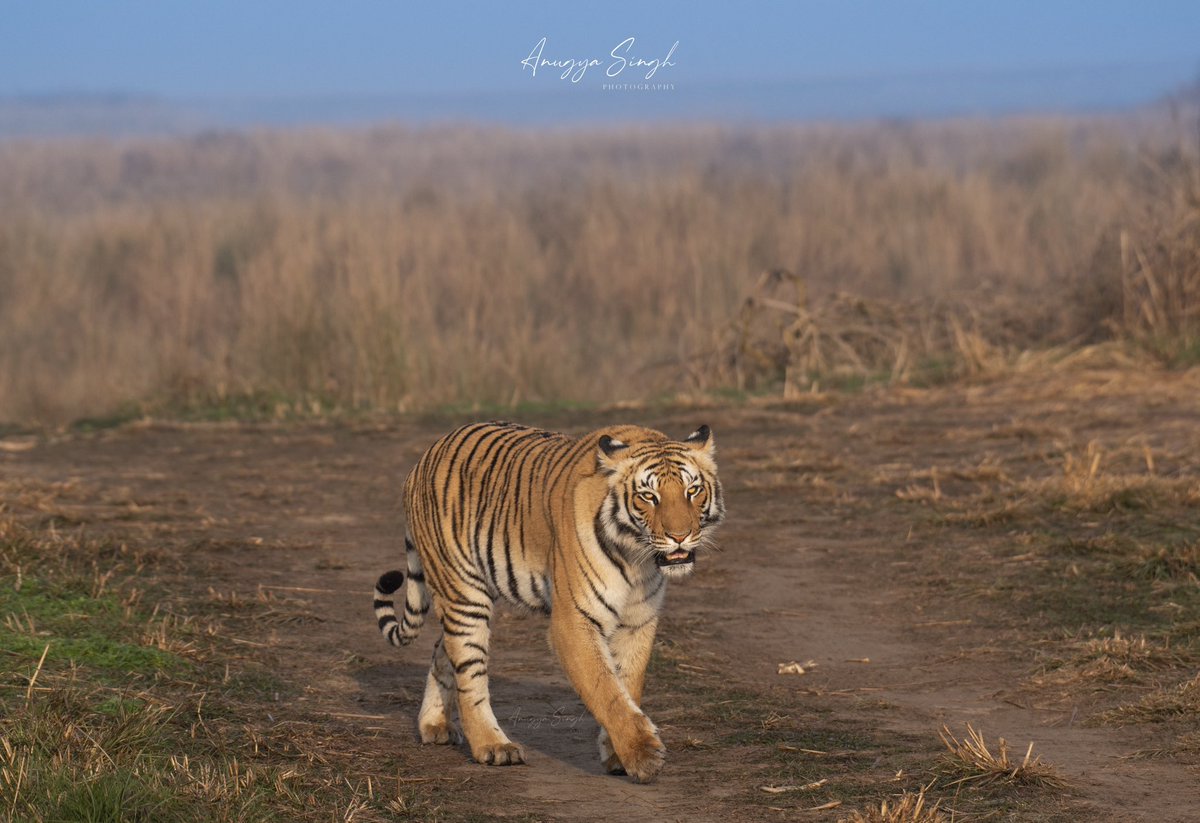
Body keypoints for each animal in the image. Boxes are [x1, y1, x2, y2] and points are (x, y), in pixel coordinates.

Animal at [372, 422, 720, 782]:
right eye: (648, 496)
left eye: (693, 491)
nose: (679, 536)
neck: (638, 559)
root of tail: (425, 457)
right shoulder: (573, 623)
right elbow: (606, 690)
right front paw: (643, 755)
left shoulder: (638, 620)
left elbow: (627, 685)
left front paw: (617, 754)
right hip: (464, 594)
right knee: (469, 674)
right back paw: (492, 746)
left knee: (443, 649)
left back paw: (435, 724)